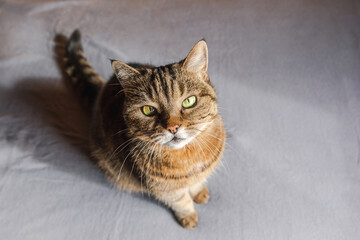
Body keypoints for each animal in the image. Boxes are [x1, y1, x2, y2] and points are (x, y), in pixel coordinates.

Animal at [62, 30, 225, 229]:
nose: (172, 127)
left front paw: (199, 191)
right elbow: (181, 201)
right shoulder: (165, 190)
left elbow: (196, 183)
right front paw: (188, 216)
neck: (187, 157)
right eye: (148, 110)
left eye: (189, 101)